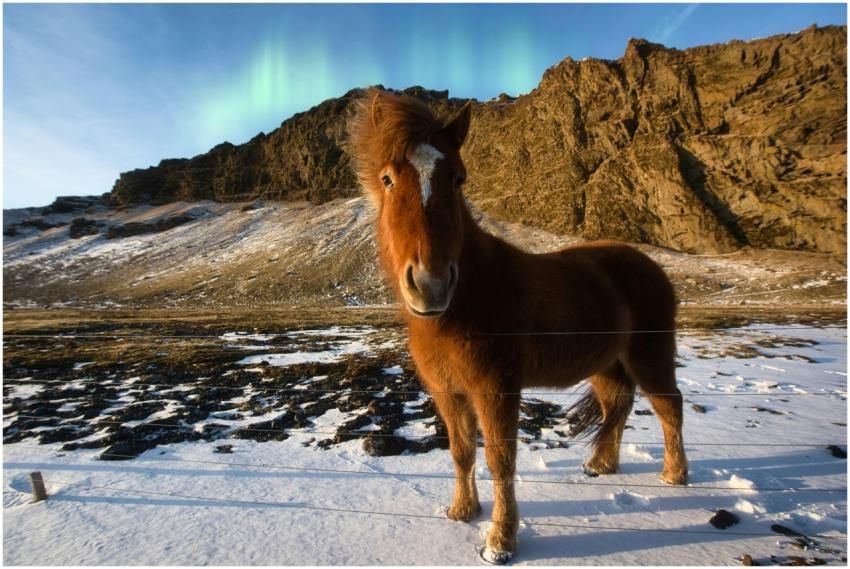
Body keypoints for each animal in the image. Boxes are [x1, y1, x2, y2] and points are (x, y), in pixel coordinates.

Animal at [347, 88, 687, 564]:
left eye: (459, 179)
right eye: (387, 179)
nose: (431, 284)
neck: (469, 299)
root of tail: (649, 265)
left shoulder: (496, 389)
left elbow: (500, 460)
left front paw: (500, 543)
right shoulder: (447, 390)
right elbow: (461, 452)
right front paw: (462, 511)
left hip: (649, 356)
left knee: (669, 407)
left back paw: (673, 476)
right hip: (606, 365)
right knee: (616, 407)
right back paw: (600, 466)